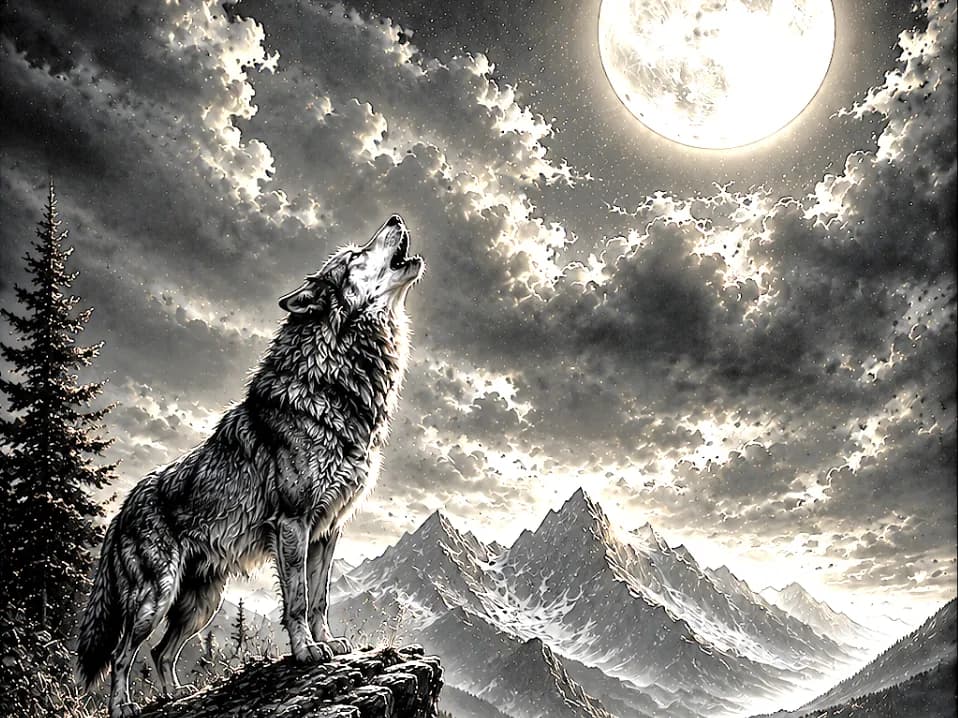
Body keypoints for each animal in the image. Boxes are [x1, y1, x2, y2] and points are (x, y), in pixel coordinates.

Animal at [76, 215, 423, 718]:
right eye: (356, 254)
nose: (396, 218)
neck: (337, 385)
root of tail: (121, 509)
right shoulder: (294, 523)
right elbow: (297, 599)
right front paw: (306, 651)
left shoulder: (329, 530)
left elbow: (320, 599)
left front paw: (330, 643)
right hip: (154, 600)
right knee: (124, 654)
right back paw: (123, 707)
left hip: (202, 604)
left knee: (161, 652)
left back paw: (177, 696)